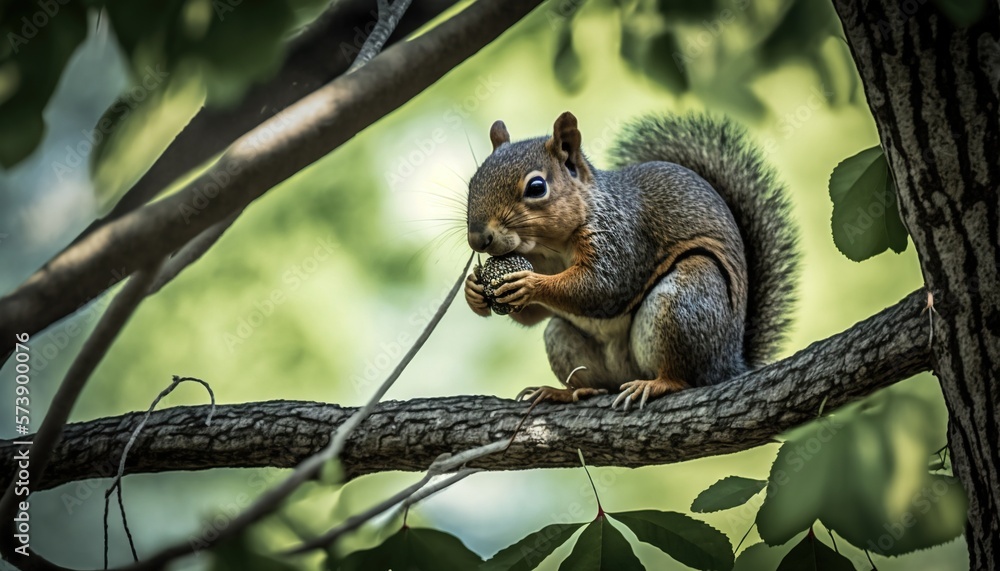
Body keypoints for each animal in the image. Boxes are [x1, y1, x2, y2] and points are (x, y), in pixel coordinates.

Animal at [460, 113, 796, 412]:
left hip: (688, 299)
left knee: (685, 376)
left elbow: (603, 287)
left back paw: (659, 384)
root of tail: (730, 363)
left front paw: (529, 284)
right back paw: (565, 392)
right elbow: (534, 316)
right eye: (472, 183)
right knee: (593, 380)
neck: (549, 249)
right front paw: (473, 291)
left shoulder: (622, 235)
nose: (478, 239)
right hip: (563, 339)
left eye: (537, 187)